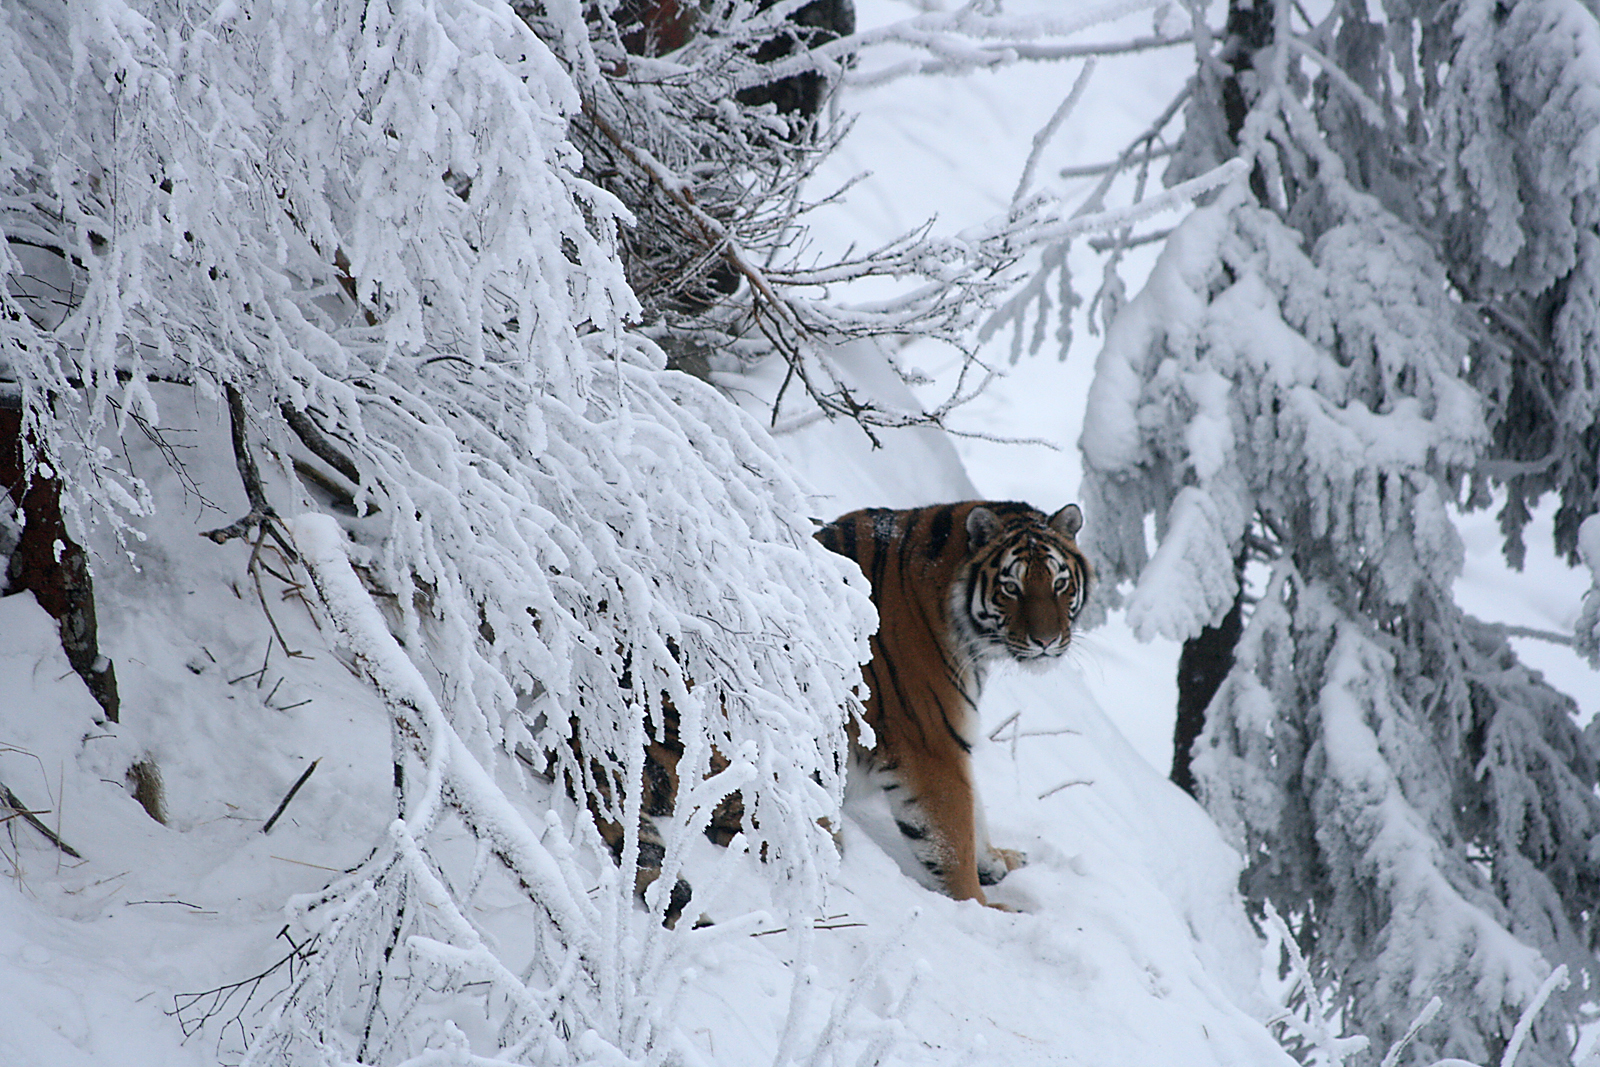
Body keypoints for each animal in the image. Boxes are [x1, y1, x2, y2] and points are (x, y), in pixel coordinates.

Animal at [815, 500, 1089, 907]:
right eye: (1011, 587)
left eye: (1059, 584)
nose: (1047, 641)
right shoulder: (931, 745)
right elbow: (952, 837)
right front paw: (982, 907)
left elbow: (976, 811)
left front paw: (996, 861)